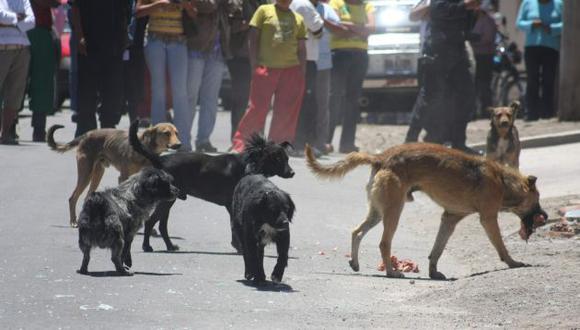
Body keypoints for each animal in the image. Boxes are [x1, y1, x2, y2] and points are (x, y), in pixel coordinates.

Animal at [47, 122, 181, 228]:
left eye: (176, 133)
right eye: (166, 133)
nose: (179, 144)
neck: (144, 150)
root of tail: (87, 134)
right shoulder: (123, 177)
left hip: (98, 173)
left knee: (87, 196)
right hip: (86, 173)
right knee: (73, 197)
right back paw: (74, 221)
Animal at [304, 143, 548, 280]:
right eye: (537, 200)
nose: (545, 218)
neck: (503, 181)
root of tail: (380, 157)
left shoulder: (449, 218)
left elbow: (437, 250)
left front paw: (433, 272)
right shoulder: (488, 218)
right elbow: (501, 246)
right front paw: (513, 263)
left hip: (377, 212)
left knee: (356, 232)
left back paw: (355, 263)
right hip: (394, 211)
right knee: (384, 243)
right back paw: (392, 272)